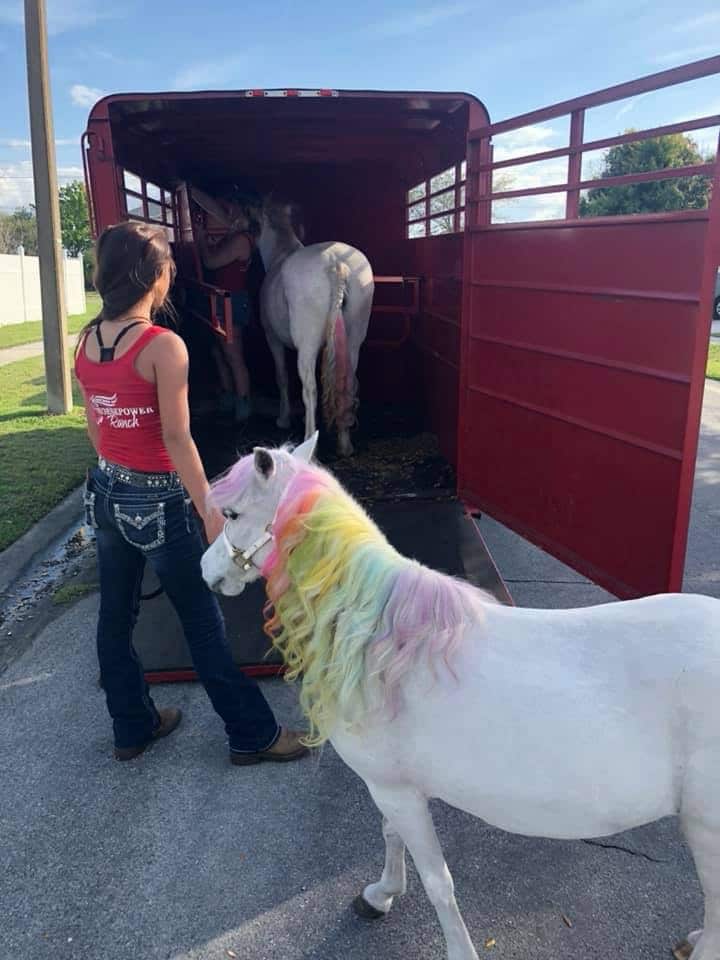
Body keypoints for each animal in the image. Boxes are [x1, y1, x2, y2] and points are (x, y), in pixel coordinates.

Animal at [201, 434, 720, 960]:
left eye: (231, 513)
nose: (206, 571)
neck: (381, 645)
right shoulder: (395, 789)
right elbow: (391, 836)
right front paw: (380, 894)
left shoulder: (395, 790)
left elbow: (437, 881)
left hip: (707, 831)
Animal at [243, 196, 375, 457]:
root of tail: (335, 263)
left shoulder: (272, 338)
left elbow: (282, 376)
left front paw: (283, 419)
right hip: (354, 338)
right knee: (346, 379)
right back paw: (345, 443)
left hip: (307, 342)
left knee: (310, 387)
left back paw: (308, 443)